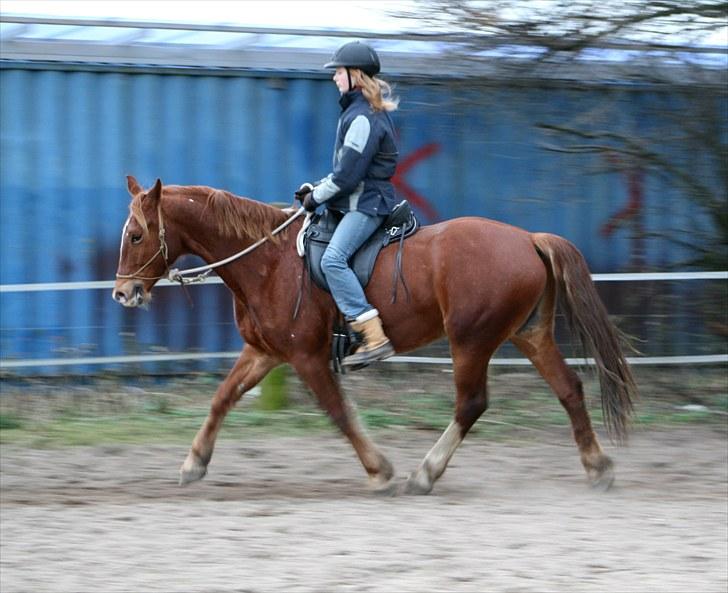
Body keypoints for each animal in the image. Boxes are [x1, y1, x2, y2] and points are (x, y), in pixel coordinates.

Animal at [112, 176, 636, 494]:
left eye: (136, 235)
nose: (123, 293)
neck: (268, 261)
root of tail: (528, 239)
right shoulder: (265, 352)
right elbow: (222, 398)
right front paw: (194, 463)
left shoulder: (306, 358)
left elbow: (339, 413)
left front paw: (379, 470)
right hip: (528, 335)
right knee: (569, 388)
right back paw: (598, 467)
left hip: (471, 340)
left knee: (471, 404)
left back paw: (424, 474)